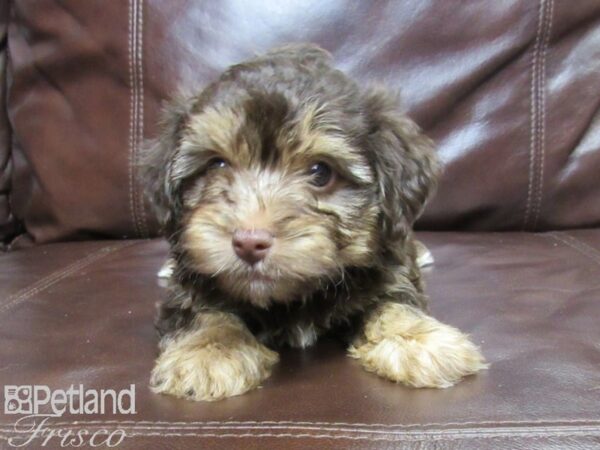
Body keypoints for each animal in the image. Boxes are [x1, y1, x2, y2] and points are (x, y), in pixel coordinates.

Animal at [145, 44, 488, 400]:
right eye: (217, 165)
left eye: (320, 172)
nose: (249, 242)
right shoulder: (189, 288)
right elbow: (204, 311)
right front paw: (209, 350)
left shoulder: (389, 266)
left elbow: (394, 301)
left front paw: (419, 339)